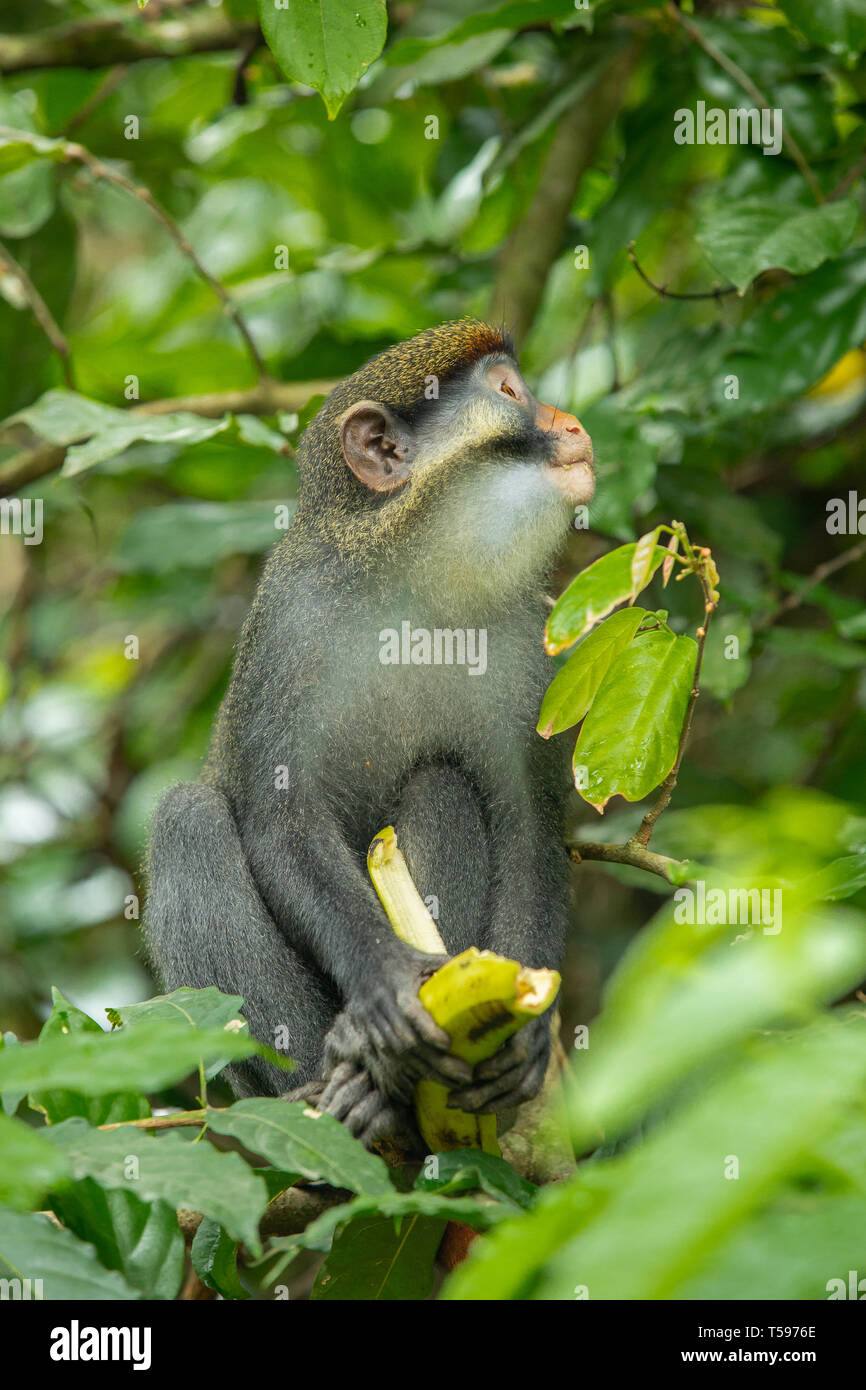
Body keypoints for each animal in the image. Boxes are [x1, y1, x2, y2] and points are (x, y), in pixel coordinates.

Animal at [145, 318, 594, 1150]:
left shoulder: (532, 648)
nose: (572, 424)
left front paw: (527, 1037)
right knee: (185, 819)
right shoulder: (293, 618)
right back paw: (340, 1083)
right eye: (509, 392)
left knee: (444, 782)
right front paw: (386, 980)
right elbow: (282, 822)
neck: (419, 588)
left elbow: (529, 831)